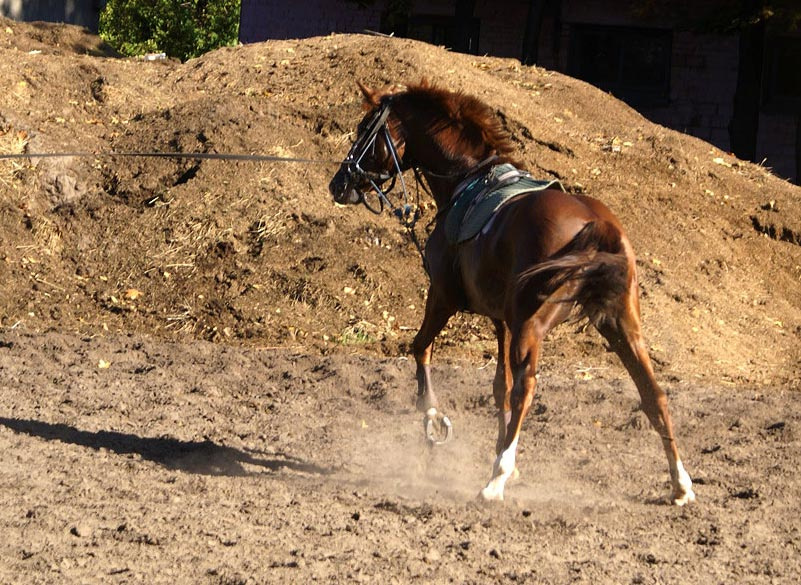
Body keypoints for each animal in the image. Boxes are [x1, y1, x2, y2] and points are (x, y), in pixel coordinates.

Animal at [328, 80, 695, 505]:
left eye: (364, 132)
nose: (338, 184)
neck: (467, 180)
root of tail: (597, 223)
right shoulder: (501, 319)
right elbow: (498, 386)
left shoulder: (443, 297)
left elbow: (422, 349)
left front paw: (435, 421)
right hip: (621, 326)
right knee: (654, 395)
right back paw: (680, 483)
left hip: (533, 326)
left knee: (527, 388)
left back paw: (496, 480)